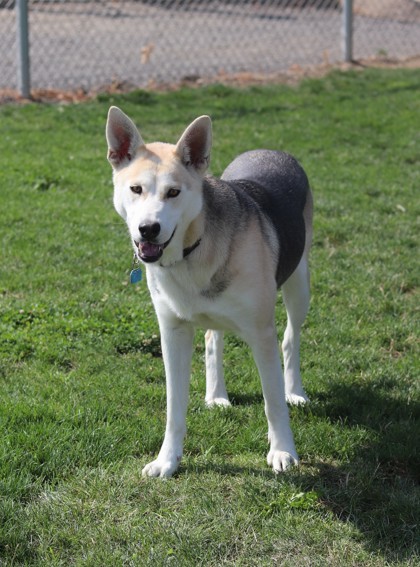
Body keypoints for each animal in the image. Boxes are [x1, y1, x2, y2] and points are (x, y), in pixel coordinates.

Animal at [106, 107, 314, 480]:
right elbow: (174, 406)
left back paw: (296, 392)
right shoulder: (172, 332)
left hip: (299, 284)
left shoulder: (261, 333)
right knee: (212, 338)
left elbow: (273, 402)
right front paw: (167, 459)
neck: (192, 250)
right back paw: (217, 394)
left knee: (291, 338)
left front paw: (283, 451)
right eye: (136, 189)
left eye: (174, 192)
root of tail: (270, 150)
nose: (148, 229)